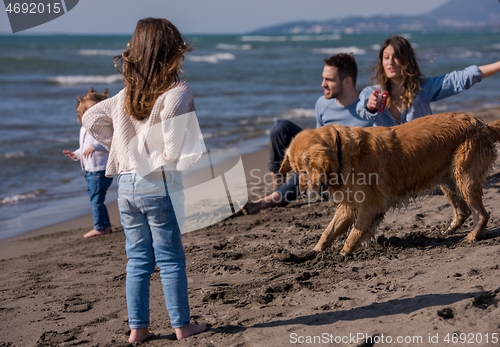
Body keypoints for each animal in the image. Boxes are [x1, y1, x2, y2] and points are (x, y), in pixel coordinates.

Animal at [280, 113, 500, 258]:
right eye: (296, 171)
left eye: (303, 172)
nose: (302, 191)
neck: (343, 153)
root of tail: (483, 124)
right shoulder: (349, 205)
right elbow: (328, 231)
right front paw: (314, 252)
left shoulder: (370, 205)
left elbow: (355, 233)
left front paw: (343, 254)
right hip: (448, 180)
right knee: (463, 211)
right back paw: (447, 233)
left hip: (465, 178)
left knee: (481, 214)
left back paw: (471, 237)